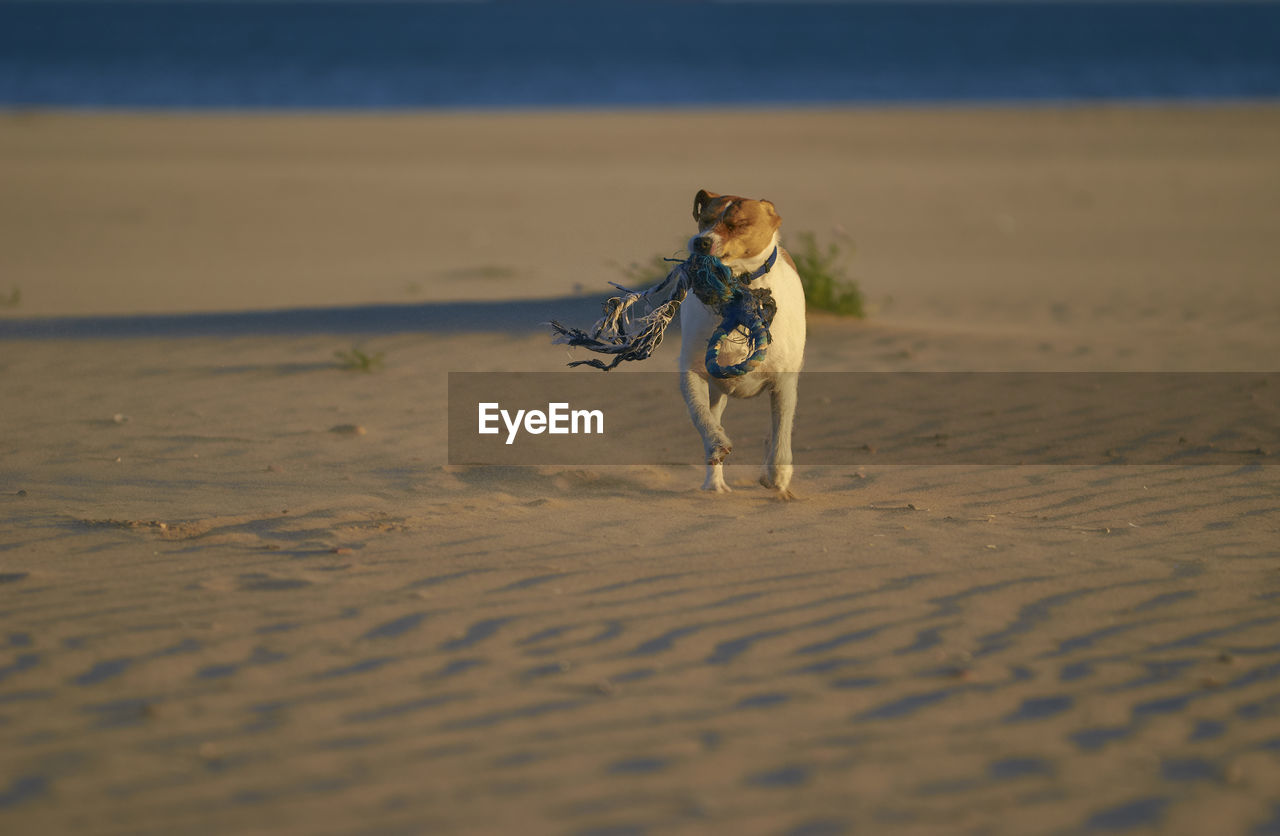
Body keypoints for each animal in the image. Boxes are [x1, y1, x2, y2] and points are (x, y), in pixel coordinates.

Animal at [680, 189, 798, 499]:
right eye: (705, 220)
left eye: (737, 225)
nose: (701, 241)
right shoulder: (693, 372)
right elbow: (701, 416)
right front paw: (716, 443)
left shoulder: (784, 382)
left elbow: (781, 429)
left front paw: (778, 475)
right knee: (713, 415)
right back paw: (715, 483)